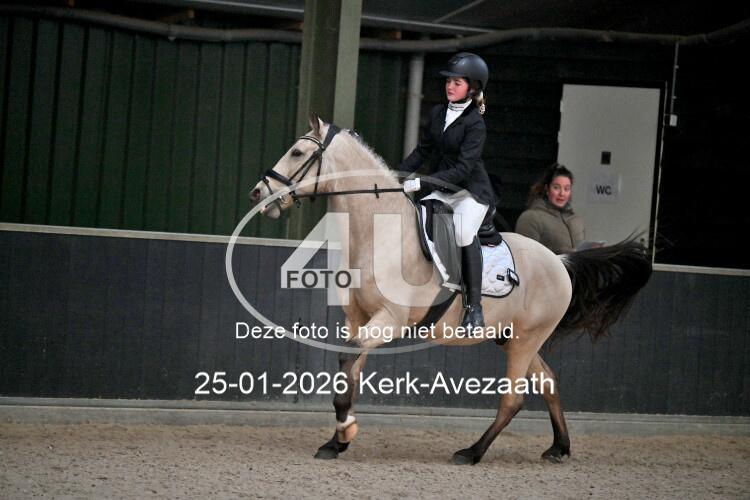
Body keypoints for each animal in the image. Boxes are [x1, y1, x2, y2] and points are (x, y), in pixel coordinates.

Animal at [249, 115, 652, 465]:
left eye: (297, 153)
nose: (258, 193)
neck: (380, 233)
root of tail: (559, 260)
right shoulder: (359, 319)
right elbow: (349, 370)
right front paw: (337, 441)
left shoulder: (389, 320)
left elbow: (348, 364)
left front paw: (346, 431)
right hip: (515, 337)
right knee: (548, 382)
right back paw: (558, 448)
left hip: (526, 339)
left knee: (513, 399)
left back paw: (471, 453)